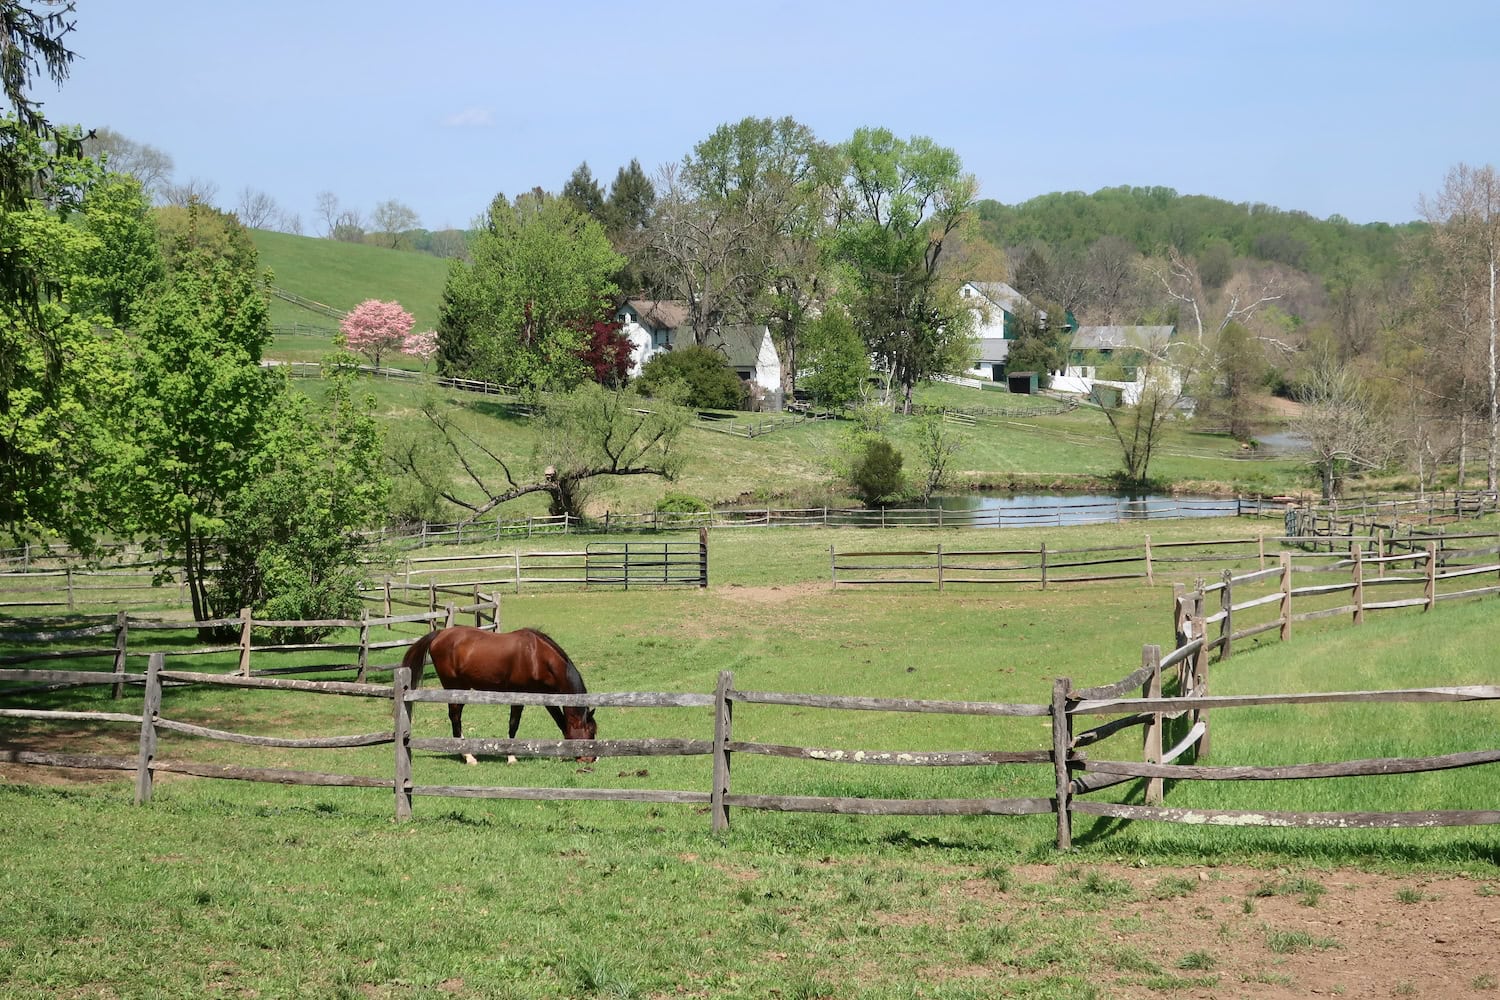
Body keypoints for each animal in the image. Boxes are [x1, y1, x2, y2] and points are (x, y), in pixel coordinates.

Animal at [400, 626, 597, 765]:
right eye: (590, 731)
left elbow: (560, 722)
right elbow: (513, 724)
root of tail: (440, 634)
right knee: (455, 717)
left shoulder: (545, 695)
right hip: (455, 688)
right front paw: (511, 756)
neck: (536, 656)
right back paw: (468, 756)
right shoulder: (518, 695)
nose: (593, 759)